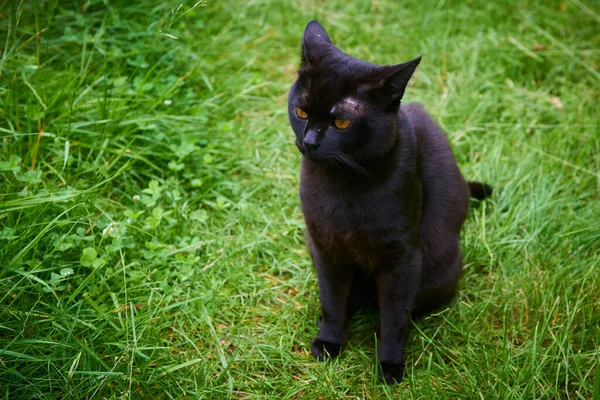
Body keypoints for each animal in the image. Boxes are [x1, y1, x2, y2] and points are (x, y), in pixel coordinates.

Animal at [288, 20, 492, 382]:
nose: (309, 141)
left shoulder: (404, 257)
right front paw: (329, 342)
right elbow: (331, 299)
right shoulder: (324, 247)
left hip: (440, 269)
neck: (344, 186)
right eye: (301, 111)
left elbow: (395, 316)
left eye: (341, 122)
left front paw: (389, 366)